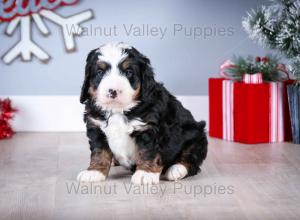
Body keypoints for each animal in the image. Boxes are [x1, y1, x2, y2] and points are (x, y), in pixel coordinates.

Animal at [77, 42, 207, 185]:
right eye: (100, 72)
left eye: (129, 72)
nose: (113, 91)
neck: (119, 110)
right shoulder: (95, 126)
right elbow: (99, 151)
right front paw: (94, 171)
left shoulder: (150, 128)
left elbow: (147, 151)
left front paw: (145, 173)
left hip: (196, 136)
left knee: (192, 159)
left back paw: (176, 169)